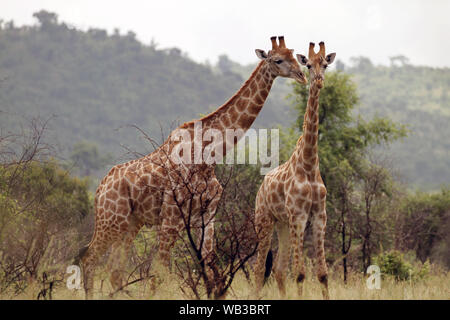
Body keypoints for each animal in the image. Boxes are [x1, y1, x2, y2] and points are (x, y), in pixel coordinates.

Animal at [79, 36, 308, 298]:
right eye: (278, 60)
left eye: (294, 55)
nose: (302, 75)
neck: (208, 156)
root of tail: (99, 190)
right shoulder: (171, 217)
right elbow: (160, 271)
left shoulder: (207, 215)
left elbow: (209, 264)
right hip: (111, 220)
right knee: (89, 259)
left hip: (131, 223)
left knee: (114, 270)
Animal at [253, 41, 334, 298]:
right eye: (308, 64)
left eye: (325, 64)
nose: (317, 80)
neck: (308, 164)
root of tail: (261, 187)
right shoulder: (298, 215)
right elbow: (299, 273)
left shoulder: (319, 215)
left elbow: (322, 274)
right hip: (264, 220)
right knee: (259, 269)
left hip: (283, 225)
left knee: (278, 270)